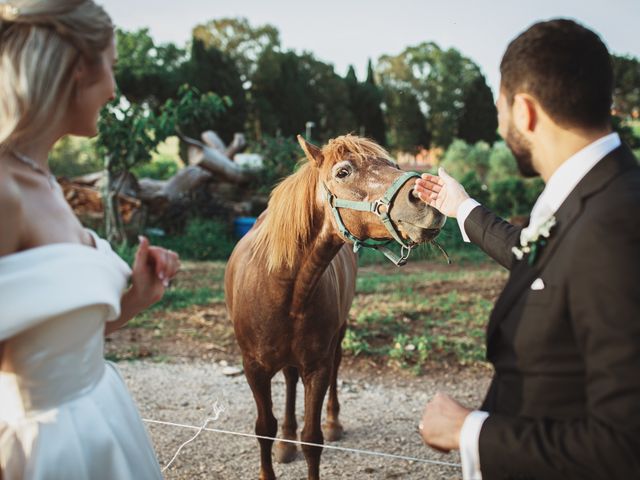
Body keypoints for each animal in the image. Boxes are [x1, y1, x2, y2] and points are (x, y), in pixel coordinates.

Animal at [225, 135, 444, 480]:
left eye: (394, 164)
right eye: (343, 172)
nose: (425, 199)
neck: (284, 287)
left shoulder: (318, 366)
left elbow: (312, 438)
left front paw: (316, 432)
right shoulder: (253, 368)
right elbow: (264, 428)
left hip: (338, 337)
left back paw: (332, 423)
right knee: (290, 381)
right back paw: (285, 442)